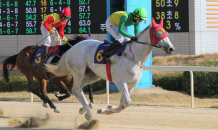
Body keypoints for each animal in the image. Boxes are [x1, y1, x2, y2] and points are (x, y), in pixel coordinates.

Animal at [45, 17, 175, 120]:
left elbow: (124, 104)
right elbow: (128, 102)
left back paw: (84, 109)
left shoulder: (131, 86)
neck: (134, 56)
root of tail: (70, 50)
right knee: (76, 89)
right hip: (78, 72)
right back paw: (88, 113)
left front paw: (107, 109)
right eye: (159, 33)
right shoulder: (120, 82)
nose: (171, 49)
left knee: (78, 89)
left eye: (167, 33)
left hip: (92, 75)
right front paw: (108, 108)